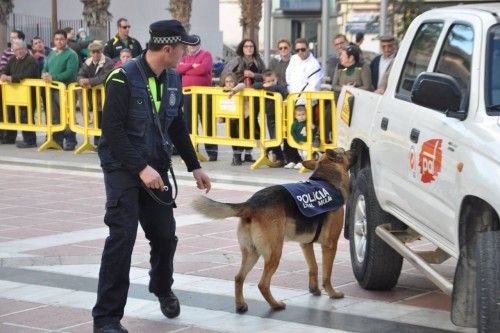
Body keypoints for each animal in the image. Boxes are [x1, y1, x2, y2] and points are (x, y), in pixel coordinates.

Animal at [191, 148, 356, 312]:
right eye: (344, 151)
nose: (354, 148)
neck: (327, 180)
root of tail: (251, 203)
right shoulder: (330, 245)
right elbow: (327, 274)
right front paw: (332, 293)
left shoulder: (305, 244)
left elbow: (313, 267)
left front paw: (314, 289)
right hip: (274, 253)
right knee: (262, 284)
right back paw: (275, 305)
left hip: (252, 253)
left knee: (239, 277)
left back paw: (241, 305)